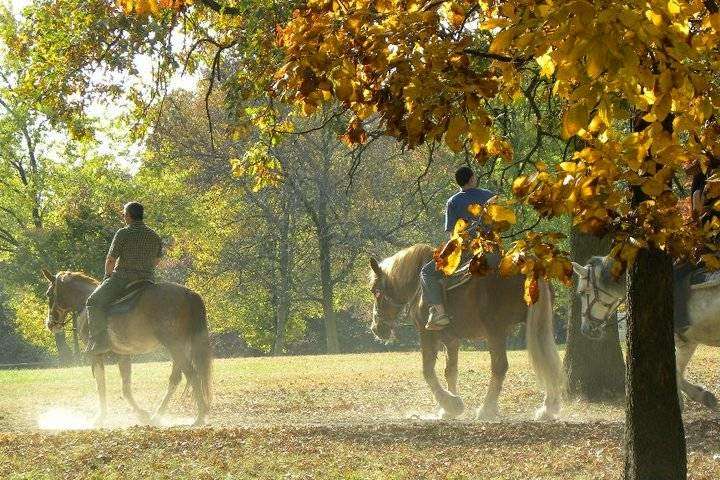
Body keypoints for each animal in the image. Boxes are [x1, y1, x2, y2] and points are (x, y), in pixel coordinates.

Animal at [42, 268, 212, 426]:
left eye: (49, 294)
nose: (50, 324)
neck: (85, 303)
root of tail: (188, 293)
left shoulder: (95, 353)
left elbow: (101, 384)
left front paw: (100, 417)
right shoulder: (123, 354)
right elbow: (126, 388)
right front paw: (142, 414)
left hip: (174, 345)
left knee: (191, 374)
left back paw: (199, 416)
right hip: (180, 347)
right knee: (176, 378)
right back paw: (158, 416)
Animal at [368, 246, 564, 418]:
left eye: (375, 291)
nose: (376, 328)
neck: (418, 284)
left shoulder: (427, 334)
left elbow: (428, 371)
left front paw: (451, 404)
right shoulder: (451, 340)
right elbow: (450, 372)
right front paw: (447, 410)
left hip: (496, 331)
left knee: (500, 366)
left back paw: (486, 409)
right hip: (538, 325)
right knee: (547, 358)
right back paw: (548, 408)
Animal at [572, 256, 720, 410]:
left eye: (581, 292)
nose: (585, 329)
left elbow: (676, 374)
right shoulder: (687, 342)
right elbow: (678, 373)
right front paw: (704, 396)